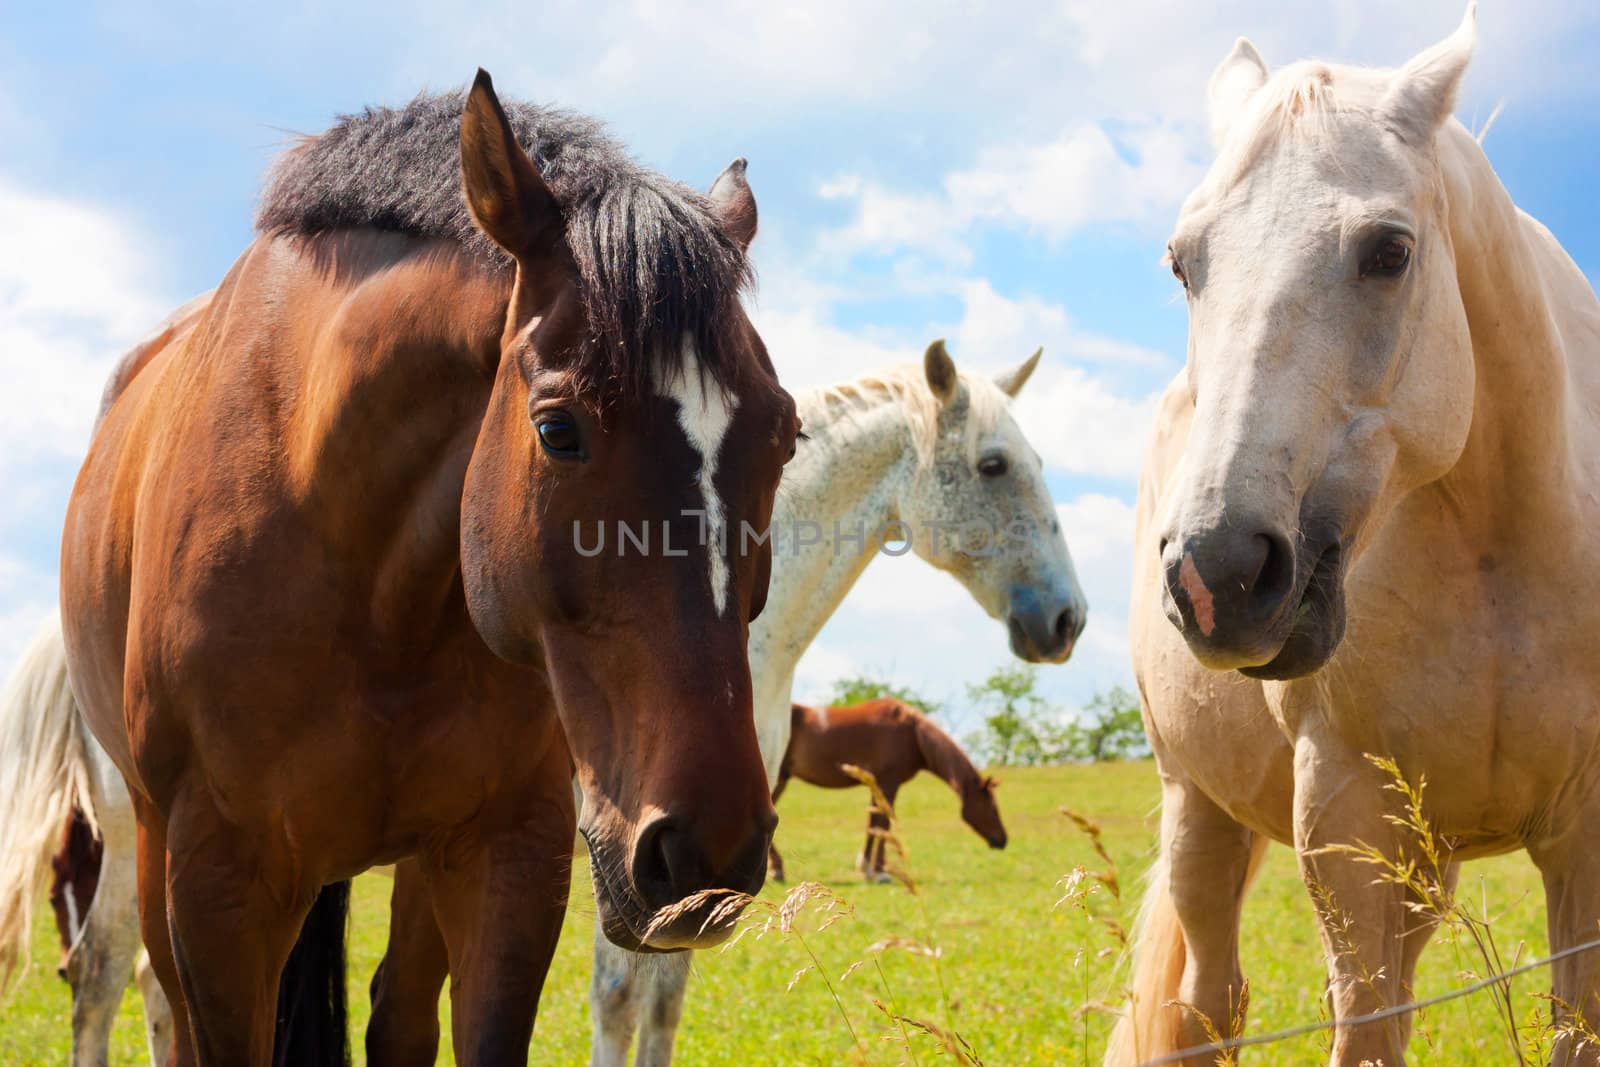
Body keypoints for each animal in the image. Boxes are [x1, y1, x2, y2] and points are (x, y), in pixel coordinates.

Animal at [62, 70, 800, 1062]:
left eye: (785, 436)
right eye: (557, 429)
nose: (709, 847)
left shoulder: (510, 854)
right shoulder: (219, 885)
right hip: (146, 842)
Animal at [768, 700, 1004, 883]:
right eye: (991, 808)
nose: (1003, 840)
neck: (912, 733)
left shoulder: (877, 787)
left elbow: (873, 824)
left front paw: (866, 868)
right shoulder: (889, 784)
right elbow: (883, 824)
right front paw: (880, 872)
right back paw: (777, 869)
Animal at [1113, 4, 1600, 1062]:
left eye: (1389, 251)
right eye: (1182, 262)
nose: (1218, 570)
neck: (1500, 556)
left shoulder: (1585, 835)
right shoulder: (1348, 823)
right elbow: (1366, 1023)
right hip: (1198, 811)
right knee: (1209, 1004)